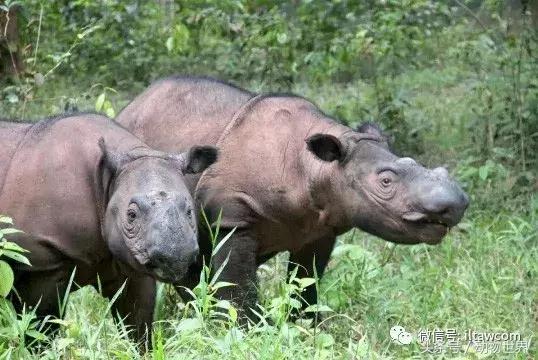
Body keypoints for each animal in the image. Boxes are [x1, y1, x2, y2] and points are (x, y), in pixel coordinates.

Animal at [0, 114, 218, 342]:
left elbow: (138, 324)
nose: (174, 258)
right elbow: (40, 326)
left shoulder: (131, 261)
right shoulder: (40, 263)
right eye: (131, 215)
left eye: (190, 211)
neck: (107, 182)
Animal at [115, 77, 466, 320]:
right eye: (385, 182)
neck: (317, 167)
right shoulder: (231, 217)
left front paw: (305, 328)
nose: (456, 204)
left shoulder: (322, 227)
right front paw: (249, 332)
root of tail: (127, 107)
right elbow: (239, 287)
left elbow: (306, 285)